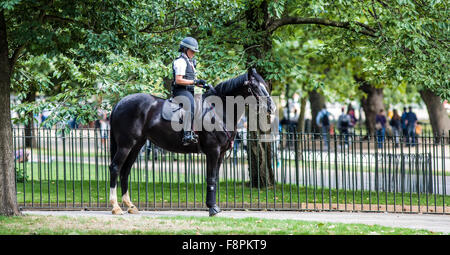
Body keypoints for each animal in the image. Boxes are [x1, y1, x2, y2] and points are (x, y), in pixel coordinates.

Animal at [108, 67, 274, 215]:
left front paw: (214, 206)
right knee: (115, 168)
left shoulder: (220, 154)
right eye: (254, 86)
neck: (219, 111)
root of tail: (120, 103)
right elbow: (211, 178)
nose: (271, 107)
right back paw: (115, 207)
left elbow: (214, 178)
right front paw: (212, 208)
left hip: (136, 146)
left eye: (265, 85)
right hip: (126, 145)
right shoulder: (213, 152)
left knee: (125, 171)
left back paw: (130, 205)